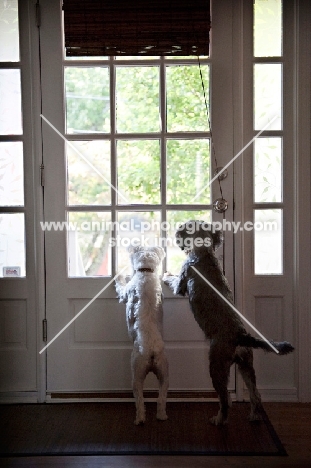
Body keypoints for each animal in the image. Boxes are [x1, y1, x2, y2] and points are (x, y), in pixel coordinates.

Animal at [115, 247, 169, 426]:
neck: (146, 272)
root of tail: (151, 353)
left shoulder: (126, 292)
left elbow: (121, 287)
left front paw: (120, 276)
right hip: (164, 373)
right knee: (161, 398)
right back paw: (161, 416)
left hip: (136, 373)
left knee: (139, 400)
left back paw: (139, 419)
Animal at [163, 221, 294, 426]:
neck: (204, 251)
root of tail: (241, 336)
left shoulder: (182, 281)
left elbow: (174, 280)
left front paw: (165, 273)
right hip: (246, 365)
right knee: (255, 395)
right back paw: (254, 416)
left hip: (216, 366)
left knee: (224, 398)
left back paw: (218, 419)